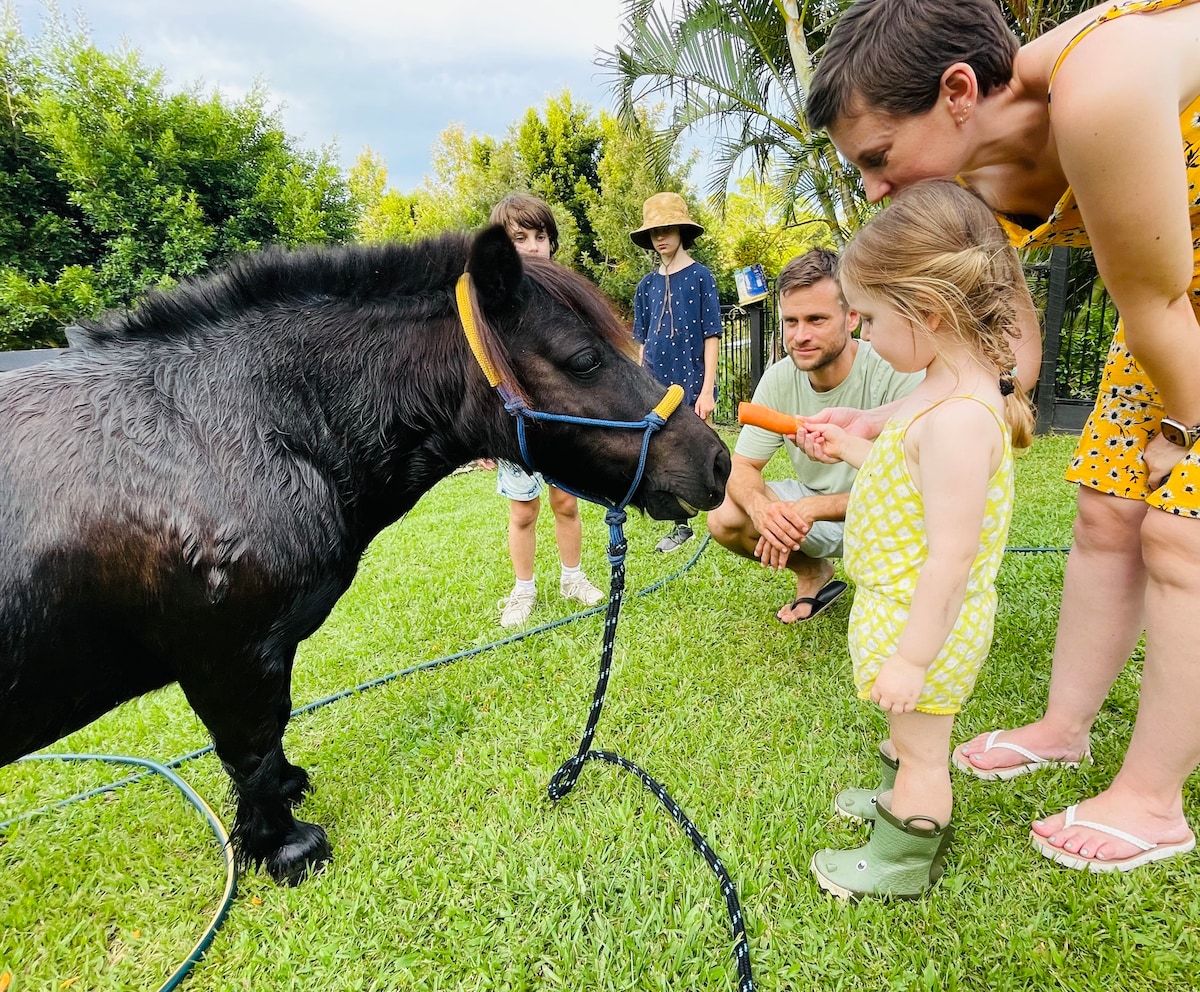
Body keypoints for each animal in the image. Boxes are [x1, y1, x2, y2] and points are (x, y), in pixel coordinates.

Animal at [0, 229, 729, 887]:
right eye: (582, 359)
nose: (717, 462)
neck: (243, 428)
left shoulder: (261, 652)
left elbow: (271, 735)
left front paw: (287, 796)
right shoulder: (227, 657)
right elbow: (249, 747)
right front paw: (285, 848)